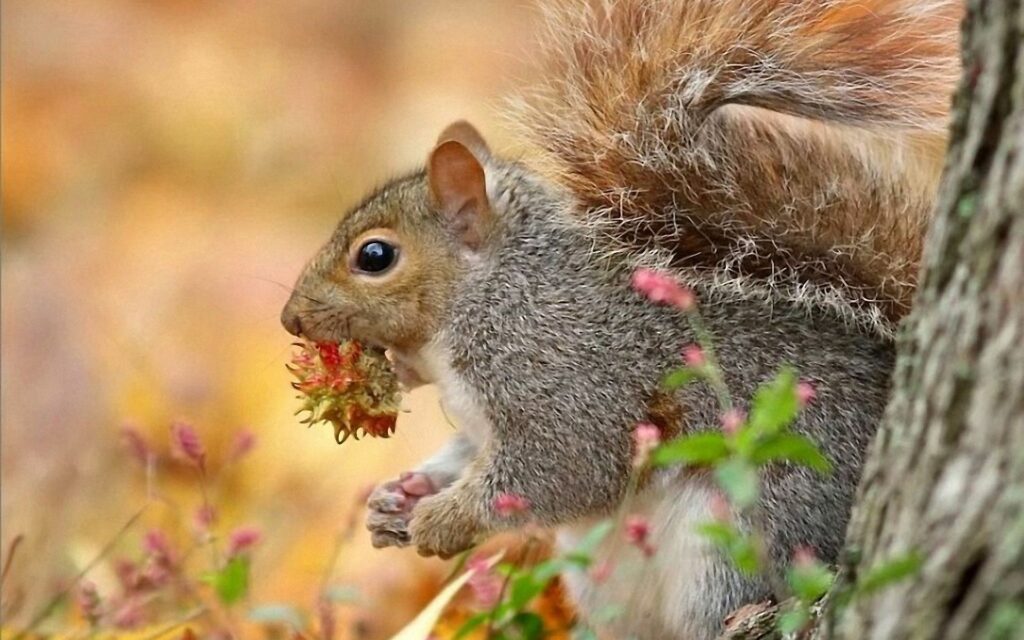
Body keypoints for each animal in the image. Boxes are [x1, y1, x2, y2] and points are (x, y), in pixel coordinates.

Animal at [280, 0, 960, 637]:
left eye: (374, 256)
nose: (290, 319)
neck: (493, 296)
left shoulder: (565, 378)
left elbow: (559, 469)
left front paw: (443, 520)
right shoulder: (483, 418)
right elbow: (466, 453)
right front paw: (401, 496)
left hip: (743, 535)